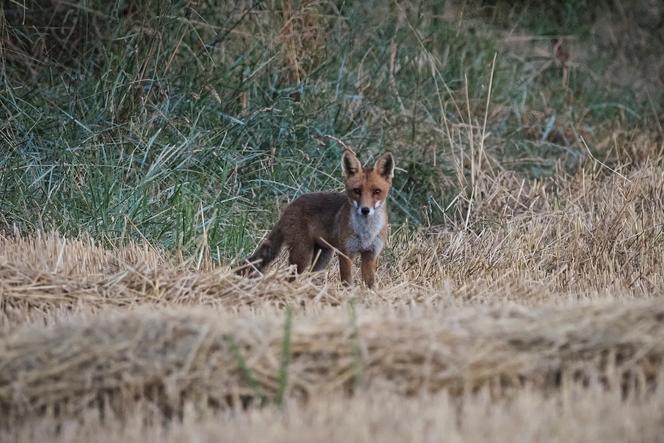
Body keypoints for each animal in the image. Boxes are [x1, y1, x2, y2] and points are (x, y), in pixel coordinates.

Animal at [240, 149, 395, 288]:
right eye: (357, 191)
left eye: (377, 191)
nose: (365, 210)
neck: (366, 232)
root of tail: (292, 204)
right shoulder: (346, 253)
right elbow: (347, 283)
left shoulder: (370, 254)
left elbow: (370, 285)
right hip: (302, 256)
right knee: (290, 278)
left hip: (323, 256)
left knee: (310, 276)